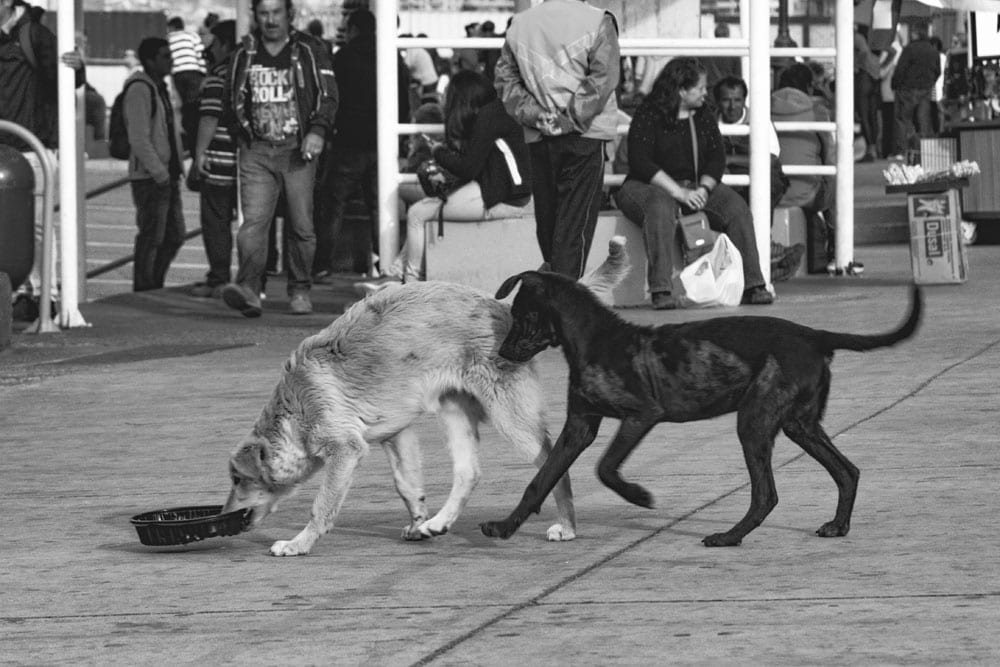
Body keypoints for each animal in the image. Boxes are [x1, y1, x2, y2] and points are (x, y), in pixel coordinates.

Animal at [223, 237, 628, 556]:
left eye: (238, 480)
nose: (224, 516)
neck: (295, 407)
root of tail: (504, 309)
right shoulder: (395, 433)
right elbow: (405, 483)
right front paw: (418, 520)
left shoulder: (346, 450)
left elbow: (322, 505)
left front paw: (299, 543)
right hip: (453, 411)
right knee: (469, 473)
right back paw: (438, 521)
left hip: (511, 418)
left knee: (553, 465)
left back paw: (567, 525)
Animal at [482, 272, 920, 548]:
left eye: (522, 316)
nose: (501, 352)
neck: (594, 340)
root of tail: (814, 336)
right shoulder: (579, 427)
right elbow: (541, 480)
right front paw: (504, 527)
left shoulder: (641, 414)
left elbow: (605, 468)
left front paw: (640, 497)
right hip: (800, 425)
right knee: (847, 471)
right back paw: (838, 526)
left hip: (754, 423)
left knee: (766, 494)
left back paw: (729, 537)